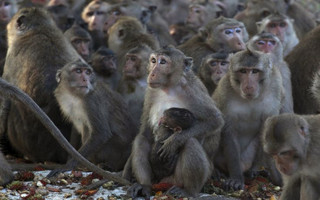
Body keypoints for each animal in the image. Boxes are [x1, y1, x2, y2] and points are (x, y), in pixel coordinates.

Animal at [123, 45, 225, 198]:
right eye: (153, 60)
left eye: (163, 62)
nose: (152, 73)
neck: (169, 87)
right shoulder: (150, 92)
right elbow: (145, 132)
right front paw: (127, 171)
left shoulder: (193, 92)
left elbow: (215, 120)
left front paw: (174, 141)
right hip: (157, 178)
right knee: (141, 140)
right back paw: (145, 185)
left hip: (184, 177)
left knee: (190, 142)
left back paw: (189, 190)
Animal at [211, 47, 284, 191]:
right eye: (243, 71)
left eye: (255, 71)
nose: (249, 86)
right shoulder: (225, 90)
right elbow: (228, 131)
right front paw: (236, 179)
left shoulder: (275, 85)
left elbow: (268, 129)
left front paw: (274, 172)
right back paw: (216, 170)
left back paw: (253, 171)